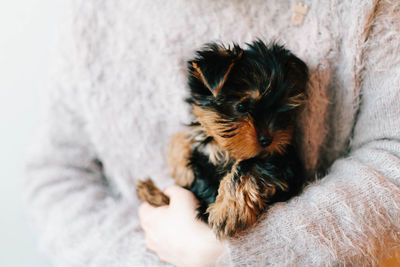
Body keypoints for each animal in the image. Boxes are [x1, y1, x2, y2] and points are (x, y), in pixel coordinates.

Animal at [136, 40, 308, 240]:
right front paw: (181, 168)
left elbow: (248, 165)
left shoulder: (283, 162)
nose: (268, 140)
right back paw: (151, 192)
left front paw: (228, 210)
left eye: (284, 110)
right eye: (241, 107)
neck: (223, 148)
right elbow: (184, 135)